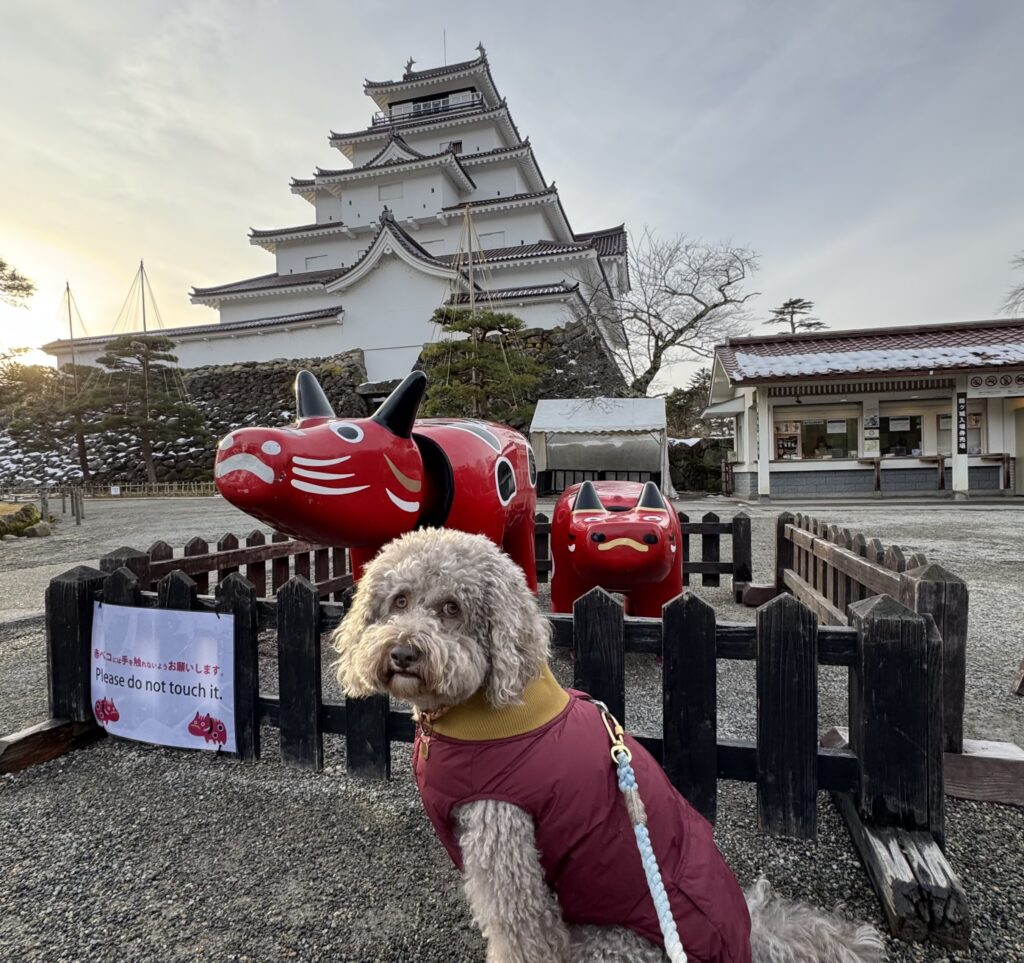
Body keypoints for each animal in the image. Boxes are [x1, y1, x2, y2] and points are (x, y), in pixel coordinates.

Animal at [331, 528, 884, 963]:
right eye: (400, 601)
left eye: (452, 608)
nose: (403, 652)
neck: (478, 713)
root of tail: (747, 938)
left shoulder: (507, 846)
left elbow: (521, 935)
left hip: (609, 943)